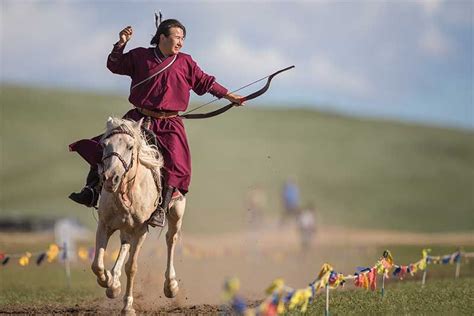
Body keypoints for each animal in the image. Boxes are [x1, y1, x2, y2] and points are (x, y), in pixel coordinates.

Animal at [90, 117, 185, 314]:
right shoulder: (104, 225)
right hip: (125, 227)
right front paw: (108, 281)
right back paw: (114, 283)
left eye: (130, 147)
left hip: (176, 213)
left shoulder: (140, 230)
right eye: (104, 145)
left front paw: (127, 307)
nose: (110, 179)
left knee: (171, 239)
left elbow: (132, 267)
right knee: (125, 244)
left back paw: (170, 286)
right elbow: (96, 264)